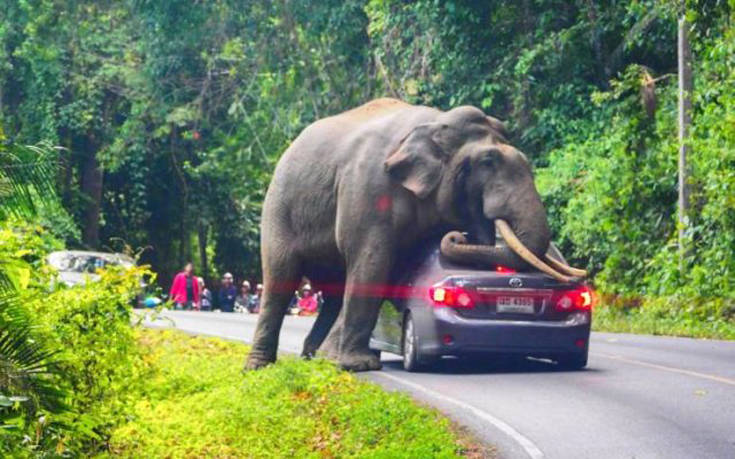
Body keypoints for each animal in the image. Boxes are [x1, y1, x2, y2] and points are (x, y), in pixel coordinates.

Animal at [247, 99, 588, 372]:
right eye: (487, 162)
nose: (457, 235)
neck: (435, 122)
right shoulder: (368, 187)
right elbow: (373, 262)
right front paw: (358, 366)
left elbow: (386, 270)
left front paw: (344, 361)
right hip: (279, 208)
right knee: (281, 276)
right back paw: (260, 367)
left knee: (333, 290)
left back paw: (314, 358)